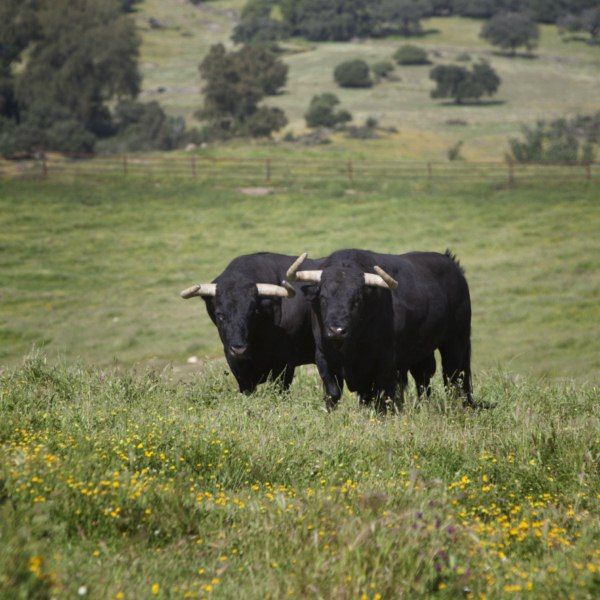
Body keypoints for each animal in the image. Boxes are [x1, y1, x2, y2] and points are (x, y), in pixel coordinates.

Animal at [286, 249, 474, 412]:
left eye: (357, 299)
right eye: (323, 297)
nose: (337, 330)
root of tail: (451, 262)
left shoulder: (385, 361)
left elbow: (381, 395)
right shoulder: (324, 357)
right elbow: (333, 393)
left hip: (456, 341)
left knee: (454, 376)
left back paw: (460, 407)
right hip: (421, 351)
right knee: (423, 378)